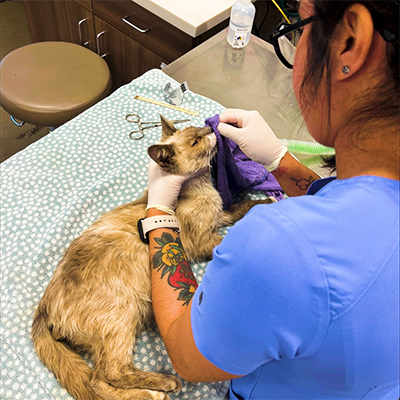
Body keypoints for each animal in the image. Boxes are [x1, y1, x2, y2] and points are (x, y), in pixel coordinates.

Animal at [31, 115, 276, 400]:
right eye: (195, 141)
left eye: (197, 129)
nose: (209, 128)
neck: (201, 188)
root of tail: (43, 311)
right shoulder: (205, 241)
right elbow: (229, 237)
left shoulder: (220, 216)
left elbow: (243, 208)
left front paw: (268, 205)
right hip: (122, 316)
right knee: (105, 376)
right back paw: (161, 387)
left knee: (99, 381)